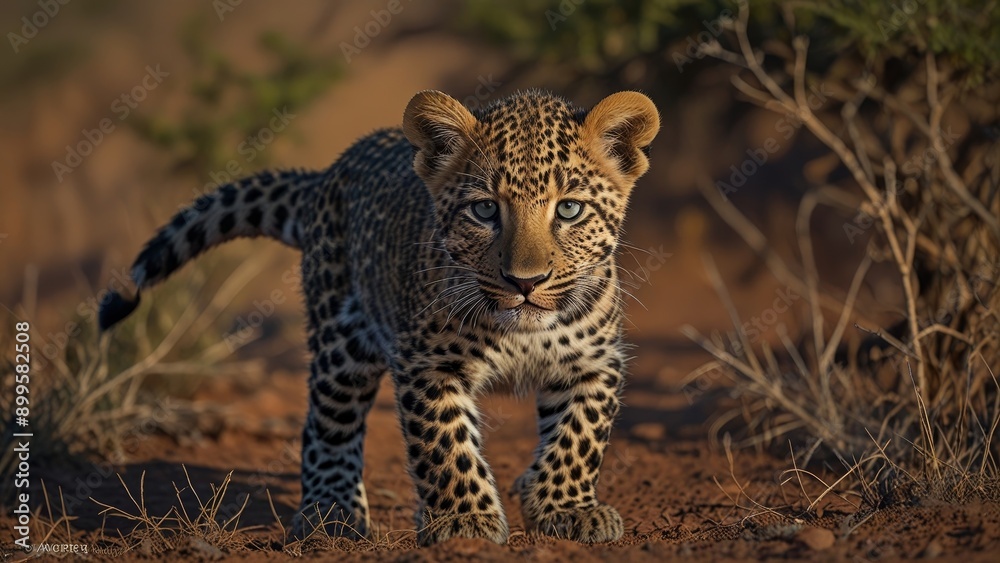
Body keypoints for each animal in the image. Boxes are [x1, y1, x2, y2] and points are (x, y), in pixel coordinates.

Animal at [99, 89, 660, 546]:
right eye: (484, 211)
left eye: (569, 210)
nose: (526, 282)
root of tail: (327, 174)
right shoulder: (427, 363)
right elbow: (446, 445)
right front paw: (466, 522)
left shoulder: (594, 362)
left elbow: (578, 438)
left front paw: (565, 508)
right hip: (342, 341)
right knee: (327, 425)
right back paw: (331, 513)